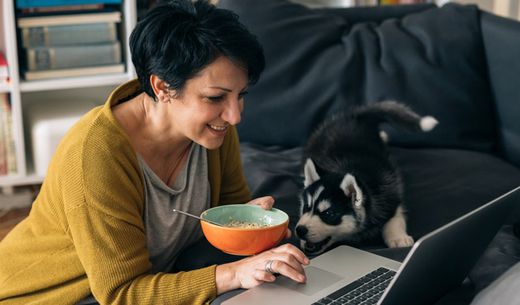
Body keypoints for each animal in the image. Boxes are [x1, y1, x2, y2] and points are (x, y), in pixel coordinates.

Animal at [294, 100, 436, 254]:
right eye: (306, 207)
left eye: (329, 214)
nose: (300, 230)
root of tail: (354, 116)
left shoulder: (391, 191)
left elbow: (395, 215)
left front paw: (398, 237)